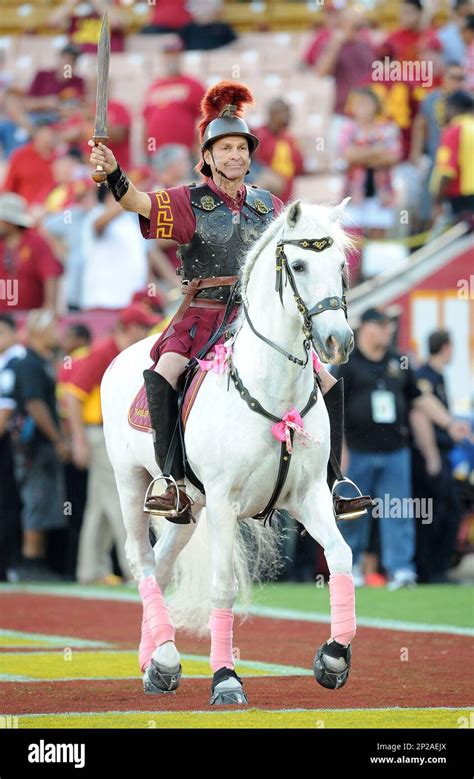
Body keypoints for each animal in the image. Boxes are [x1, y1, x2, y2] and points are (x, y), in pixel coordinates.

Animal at [102, 200, 358, 708]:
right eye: (299, 265)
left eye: (340, 266)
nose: (338, 342)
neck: (273, 389)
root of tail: (122, 356)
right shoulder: (224, 501)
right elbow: (223, 587)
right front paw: (225, 679)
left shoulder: (310, 497)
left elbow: (341, 558)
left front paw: (334, 658)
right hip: (131, 482)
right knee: (140, 560)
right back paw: (164, 657)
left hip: (189, 507)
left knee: (161, 565)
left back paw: (155, 660)